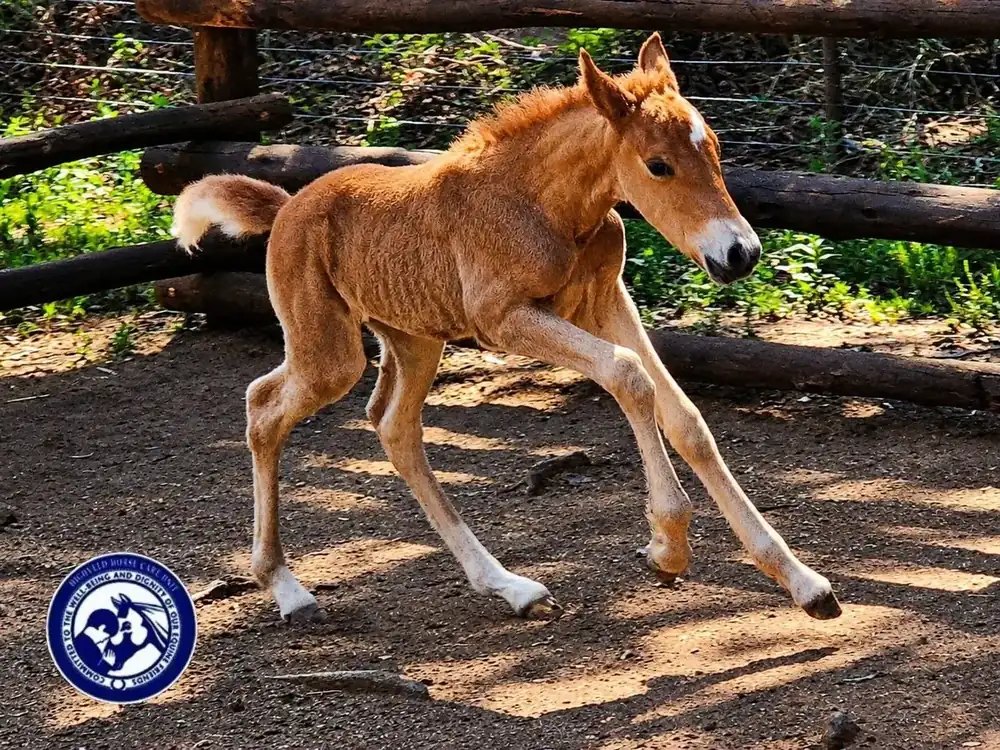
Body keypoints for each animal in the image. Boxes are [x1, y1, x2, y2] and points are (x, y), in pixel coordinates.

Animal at [171, 33, 841, 624]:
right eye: (658, 165)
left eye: (717, 149)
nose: (740, 254)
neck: (543, 204)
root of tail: (286, 208)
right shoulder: (505, 320)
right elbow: (629, 375)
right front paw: (667, 547)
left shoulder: (604, 299)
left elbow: (686, 419)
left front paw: (805, 584)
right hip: (330, 354)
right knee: (264, 406)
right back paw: (288, 589)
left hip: (416, 338)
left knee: (393, 426)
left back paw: (510, 587)